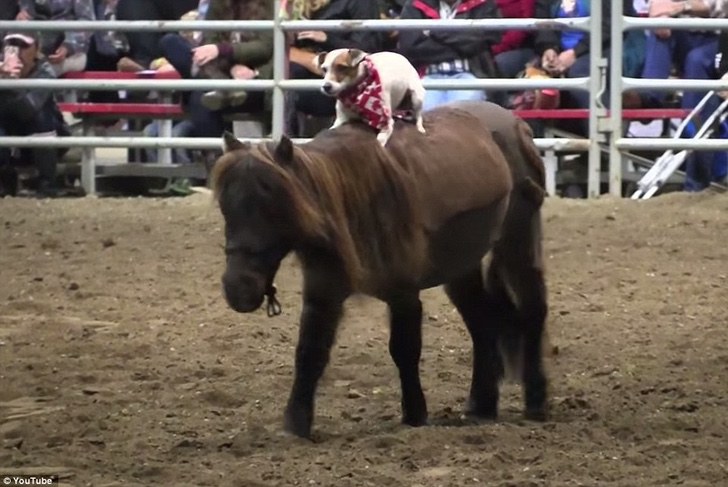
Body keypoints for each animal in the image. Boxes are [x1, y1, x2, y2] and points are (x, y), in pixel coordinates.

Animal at [213, 101, 548, 440]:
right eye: (225, 207)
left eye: (275, 206)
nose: (238, 288)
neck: (351, 196)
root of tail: (515, 123)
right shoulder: (323, 292)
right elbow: (310, 352)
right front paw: (296, 424)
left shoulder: (404, 293)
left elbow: (404, 350)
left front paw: (414, 414)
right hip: (462, 267)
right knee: (484, 324)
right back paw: (482, 406)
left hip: (517, 240)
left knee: (532, 310)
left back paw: (536, 401)